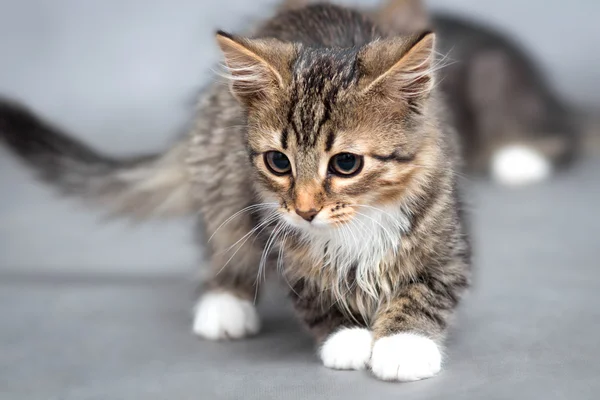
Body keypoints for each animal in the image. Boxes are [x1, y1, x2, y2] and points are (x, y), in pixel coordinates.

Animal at [0, 1, 468, 382]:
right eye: (278, 162)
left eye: (346, 164)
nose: (305, 210)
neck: (356, 223)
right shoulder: (281, 239)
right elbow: (315, 293)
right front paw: (348, 337)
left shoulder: (447, 236)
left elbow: (426, 292)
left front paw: (403, 346)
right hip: (221, 180)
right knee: (221, 242)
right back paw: (224, 303)